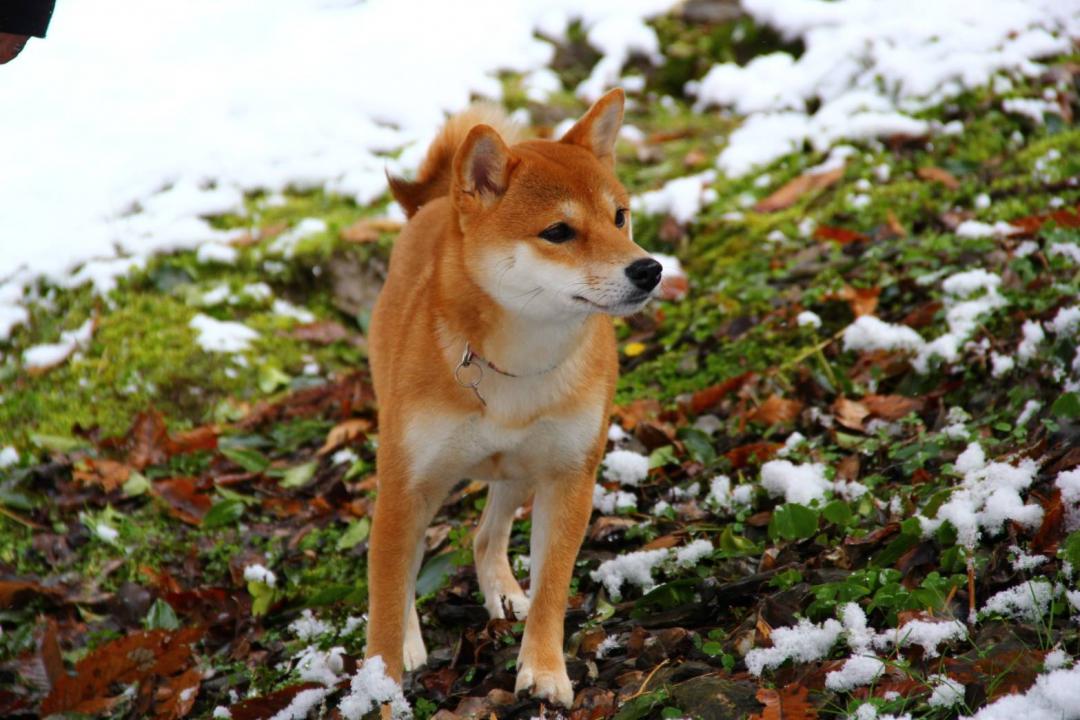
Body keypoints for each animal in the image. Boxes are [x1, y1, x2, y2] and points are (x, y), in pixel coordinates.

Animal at [367, 90, 660, 708]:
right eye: (559, 232)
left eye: (619, 216)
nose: (649, 268)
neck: (518, 367)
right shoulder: (407, 486)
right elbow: (386, 594)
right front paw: (377, 686)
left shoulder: (569, 477)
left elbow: (552, 587)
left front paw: (544, 671)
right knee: (399, 566)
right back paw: (408, 639)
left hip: (521, 469)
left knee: (485, 535)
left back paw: (501, 591)